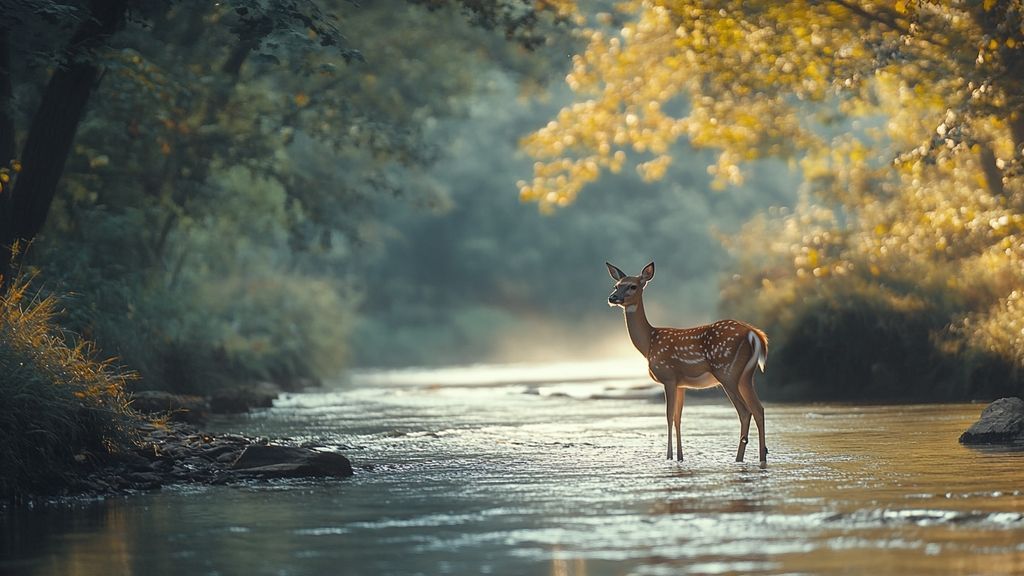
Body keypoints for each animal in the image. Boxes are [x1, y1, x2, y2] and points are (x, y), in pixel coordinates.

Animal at [606, 261, 769, 464]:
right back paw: (762, 457)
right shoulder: (681, 383)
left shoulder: (668, 376)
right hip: (746, 376)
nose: (612, 297)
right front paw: (680, 457)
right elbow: (678, 418)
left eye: (632, 286)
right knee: (759, 409)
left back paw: (738, 459)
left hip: (726, 372)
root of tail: (754, 334)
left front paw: (668, 457)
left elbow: (668, 416)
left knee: (745, 411)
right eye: (616, 285)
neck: (649, 343)